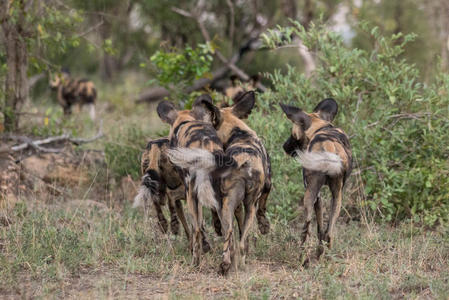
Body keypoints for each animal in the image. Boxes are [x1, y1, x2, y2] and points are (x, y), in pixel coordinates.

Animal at [156, 95, 236, 264]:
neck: (185, 121)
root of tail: (206, 142)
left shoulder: (189, 194)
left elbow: (196, 227)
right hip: (221, 200)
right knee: (229, 231)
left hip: (192, 194)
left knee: (197, 229)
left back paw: (195, 263)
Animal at [192, 91, 270, 274]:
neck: (239, 132)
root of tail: (243, 160)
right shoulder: (266, 189)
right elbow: (262, 210)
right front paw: (265, 227)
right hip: (247, 205)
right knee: (240, 243)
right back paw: (239, 266)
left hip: (226, 206)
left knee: (231, 239)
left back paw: (226, 265)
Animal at [278, 98, 352, 255]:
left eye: (293, 134)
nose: (284, 146)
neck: (320, 127)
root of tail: (329, 145)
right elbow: (323, 230)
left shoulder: (315, 195)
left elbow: (317, 227)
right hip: (337, 197)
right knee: (329, 233)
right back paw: (322, 255)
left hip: (309, 196)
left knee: (306, 228)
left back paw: (303, 256)